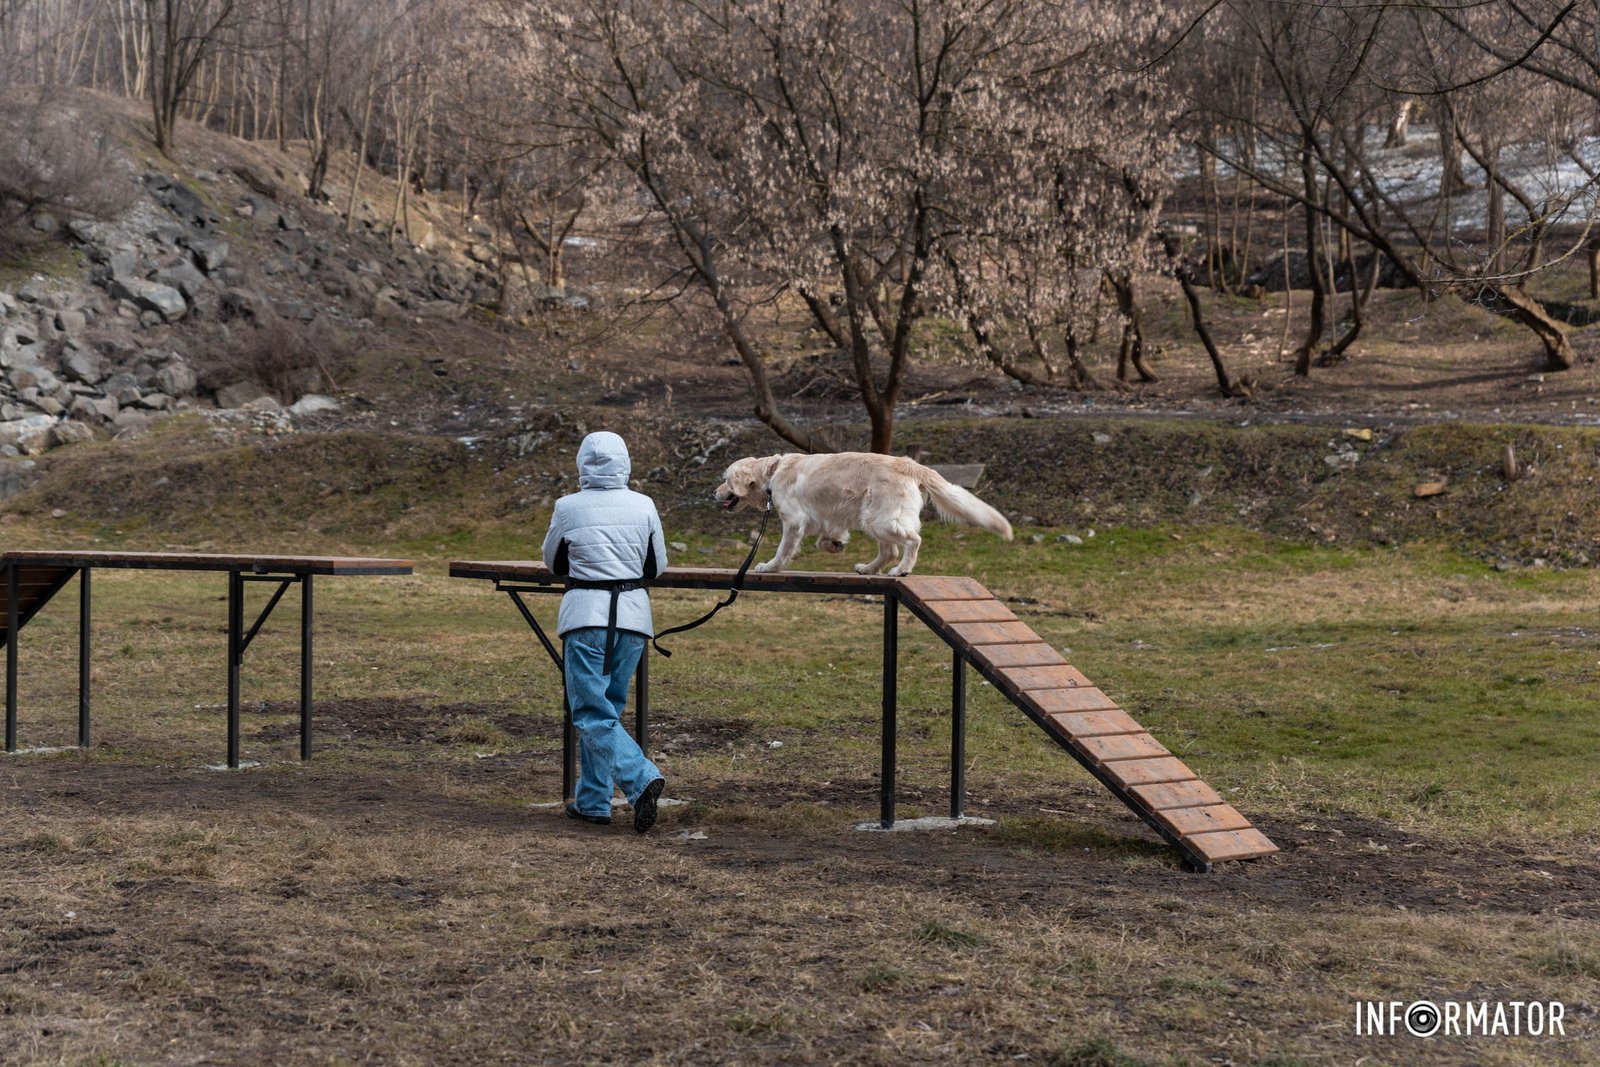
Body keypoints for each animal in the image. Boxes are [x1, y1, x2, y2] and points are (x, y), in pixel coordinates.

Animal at [713, 451, 1011, 575]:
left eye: (726, 479)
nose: (713, 493)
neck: (772, 472)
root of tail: (911, 465)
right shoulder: (826, 515)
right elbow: (825, 537)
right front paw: (834, 545)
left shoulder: (794, 521)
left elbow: (783, 550)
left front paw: (769, 566)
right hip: (873, 519)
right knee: (889, 550)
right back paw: (868, 569)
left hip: (879, 520)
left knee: (912, 541)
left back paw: (902, 570)